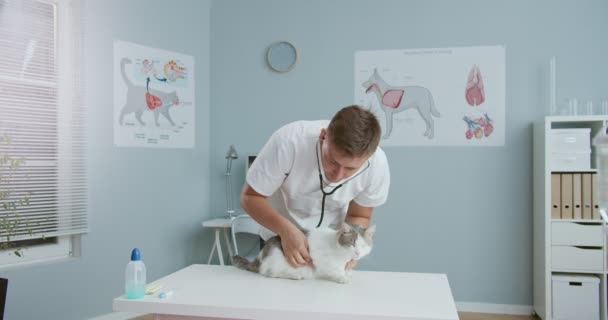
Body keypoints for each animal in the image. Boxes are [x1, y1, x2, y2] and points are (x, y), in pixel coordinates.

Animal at [234, 224, 372, 284]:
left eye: (363, 246)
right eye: (352, 243)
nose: (358, 252)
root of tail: (260, 255)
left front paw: (347, 272)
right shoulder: (323, 263)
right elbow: (334, 271)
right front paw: (342, 277)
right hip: (277, 257)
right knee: (270, 273)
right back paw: (294, 276)